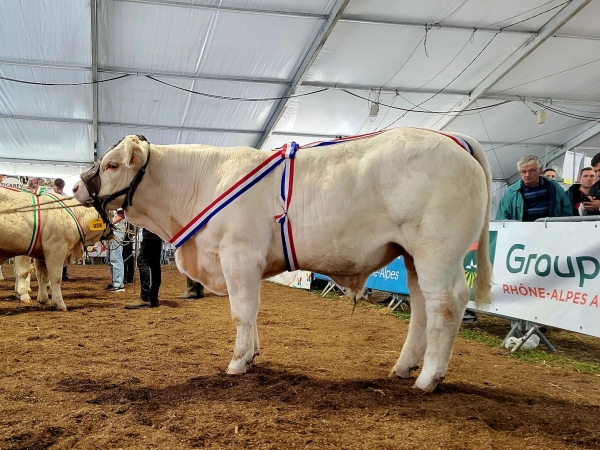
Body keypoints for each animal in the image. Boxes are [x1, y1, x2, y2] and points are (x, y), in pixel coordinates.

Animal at [72, 128, 492, 392]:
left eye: (112, 165)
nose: (75, 185)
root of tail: (453, 140)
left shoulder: (239, 255)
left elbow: (241, 312)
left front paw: (238, 361)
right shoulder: (249, 264)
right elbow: (253, 312)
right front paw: (253, 355)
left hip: (437, 248)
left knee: (446, 304)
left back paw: (429, 379)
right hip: (412, 256)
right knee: (421, 307)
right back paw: (404, 368)